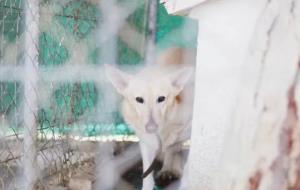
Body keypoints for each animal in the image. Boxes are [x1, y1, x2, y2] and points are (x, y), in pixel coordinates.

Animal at [105, 48, 195, 189]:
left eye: (161, 98)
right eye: (139, 99)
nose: (151, 128)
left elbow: (187, 166)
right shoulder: (147, 142)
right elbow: (147, 175)